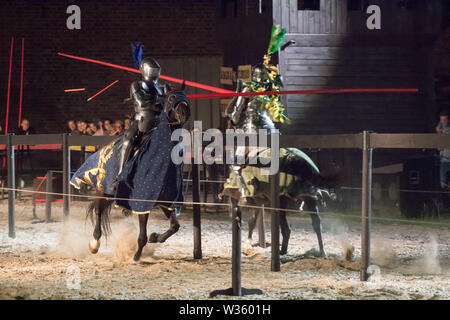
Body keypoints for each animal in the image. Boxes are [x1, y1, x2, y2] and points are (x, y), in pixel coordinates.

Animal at [74, 87, 190, 260]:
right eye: (171, 97)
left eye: (186, 97)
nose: (184, 112)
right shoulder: (142, 200)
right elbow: (142, 234)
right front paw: (136, 256)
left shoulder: (163, 199)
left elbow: (175, 226)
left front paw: (155, 237)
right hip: (103, 190)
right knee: (99, 212)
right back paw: (94, 244)